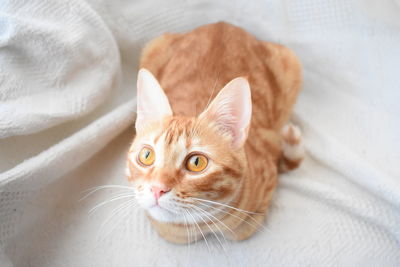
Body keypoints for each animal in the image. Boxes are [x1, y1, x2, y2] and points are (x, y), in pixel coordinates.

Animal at [126, 22, 304, 245]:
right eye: (147, 156)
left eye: (196, 162)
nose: (157, 188)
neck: (200, 225)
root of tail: (223, 24)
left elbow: (243, 229)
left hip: (290, 61)